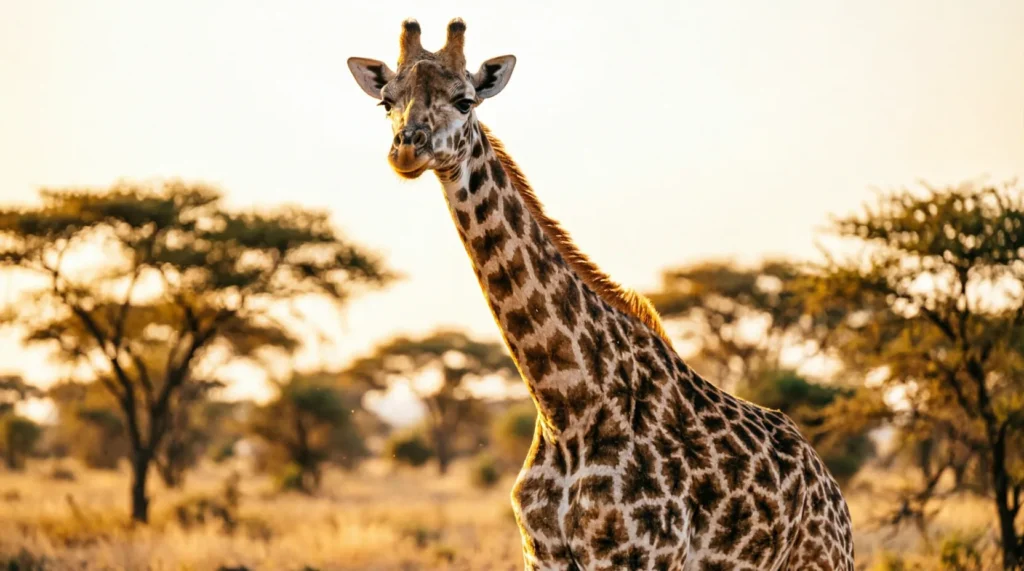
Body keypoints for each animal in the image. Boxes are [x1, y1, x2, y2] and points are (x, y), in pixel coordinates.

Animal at [347, 18, 855, 571]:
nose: (407, 148)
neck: (565, 405)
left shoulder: (640, 555)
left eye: (465, 100)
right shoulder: (540, 553)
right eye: (386, 101)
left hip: (822, 559)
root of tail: (833, 492)